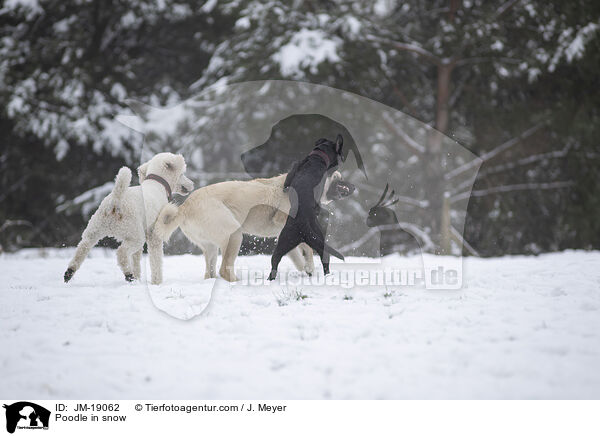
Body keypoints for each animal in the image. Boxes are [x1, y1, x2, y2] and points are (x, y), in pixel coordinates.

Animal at [152, 170, 346, 282]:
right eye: (336, 178)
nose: (347, 186)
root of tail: (184, 207)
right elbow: (307, 247)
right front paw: (310, 267)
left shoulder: (284, 233)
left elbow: (299, 254)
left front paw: (307, 269)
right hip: (234, 235)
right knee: (224, 270)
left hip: (211, 247)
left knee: (211, 272)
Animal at [268, 135, 346, 282]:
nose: (343, 158)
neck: (317, 158)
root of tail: (304, 228)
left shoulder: (291, 175)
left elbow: (286, 185)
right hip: (315, 242)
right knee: (325, 259)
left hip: (284, 239)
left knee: (275, 261)